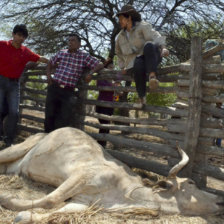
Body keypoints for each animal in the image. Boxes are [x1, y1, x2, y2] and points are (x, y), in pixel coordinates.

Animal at [0, 127, 222, 223]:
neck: (126, 195)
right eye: (191, 183)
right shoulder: (82, 176)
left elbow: (57, 211)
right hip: (17, 149)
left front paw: (26, 216)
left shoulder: (83, 201)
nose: (219, 199)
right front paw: (7, 199)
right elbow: (51, 200)